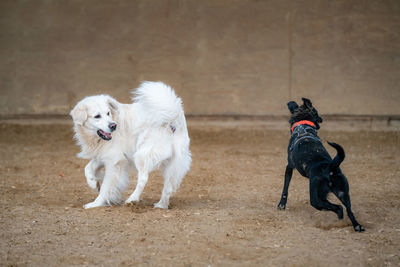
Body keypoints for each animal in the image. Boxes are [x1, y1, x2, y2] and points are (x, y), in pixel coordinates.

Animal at [70, 81, 191, 209]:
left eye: (108, 113)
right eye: (97, 116)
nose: (113, 126)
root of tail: (173, 118)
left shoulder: (114, 160)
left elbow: (106, 187)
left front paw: (96, 203)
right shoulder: (103, 155)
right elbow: (88, 168)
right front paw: (93, 182)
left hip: (142, 155)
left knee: (143, 178)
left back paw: (132, 199)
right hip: (173, 163)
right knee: (168, 186)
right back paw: (161, 205)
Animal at [276, 98, 364, 232]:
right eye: (317, 113)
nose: (322, 118)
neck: (303, 125)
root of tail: (330, 167)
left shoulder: (289, 167)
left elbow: (285, 188)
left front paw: (281, 205)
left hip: (315, 197)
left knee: (337, 207)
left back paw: (339, 217)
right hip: (342, 192)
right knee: (349, 210)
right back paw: (356, 225)